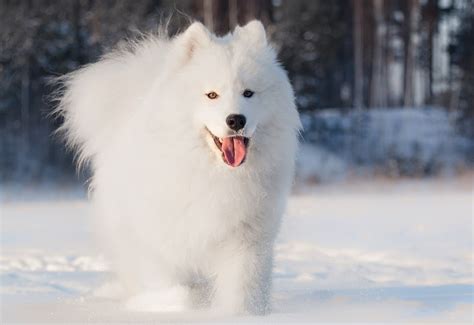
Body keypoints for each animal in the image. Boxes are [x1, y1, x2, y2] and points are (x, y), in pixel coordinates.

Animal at [55, 20, 300, 314]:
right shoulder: (164, 242)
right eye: (212, 95)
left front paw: (240, 314)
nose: (236, 120)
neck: (213, 174)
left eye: (249, 93)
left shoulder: (246, 241)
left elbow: (243, 288)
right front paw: (181, 306)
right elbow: (179, 286)